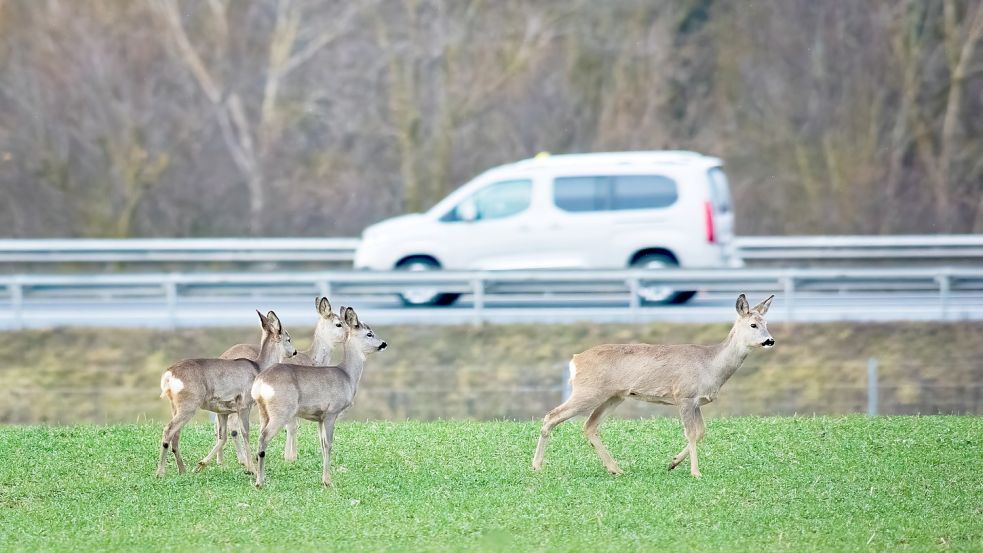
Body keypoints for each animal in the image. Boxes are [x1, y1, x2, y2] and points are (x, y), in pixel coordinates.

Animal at [155, 308, 296, 476]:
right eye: (288, 339)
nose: (294, 352)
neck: (258, 369)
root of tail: (168, 375)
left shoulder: (223, 411)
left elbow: (222, 437)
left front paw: (200, 465)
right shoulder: (244, 404)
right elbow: (245, 433)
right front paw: (252, 469)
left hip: (175, 405)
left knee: (176, 434)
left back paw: (182, 469)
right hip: (189, 404)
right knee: (168, 430)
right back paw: (160, 472)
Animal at [220, 298, 350, 462]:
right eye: (339, 324)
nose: (350, 334)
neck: (311, 359)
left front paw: (288, 455)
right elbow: (293, 426)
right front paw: (290, 457)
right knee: (233, 425)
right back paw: (243, 460)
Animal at [254, 306, 388, 488]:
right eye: (369, 333)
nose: (384, 343)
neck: (347, 376)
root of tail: (260, 382)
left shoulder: (319, 417)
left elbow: (322, 445)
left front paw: (324, 478)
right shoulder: (332, 412)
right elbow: (329, 445)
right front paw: (327, 481)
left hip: (263, 411)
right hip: (281, 410)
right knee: (263, 438)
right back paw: (259, 481)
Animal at [532, 294, 776, 478]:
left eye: (767, 324)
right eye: (753, 324)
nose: (770, 340)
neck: (711, 364)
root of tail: (575, 361)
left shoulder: (697, 402)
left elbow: (701, 432)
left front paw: (673, 462)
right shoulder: (684, 395)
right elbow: (690, 433)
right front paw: (695, 472)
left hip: (613, 396)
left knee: (590, 426)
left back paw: (616, 469)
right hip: (588, 391)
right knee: (552, 416)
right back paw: (537, 465)